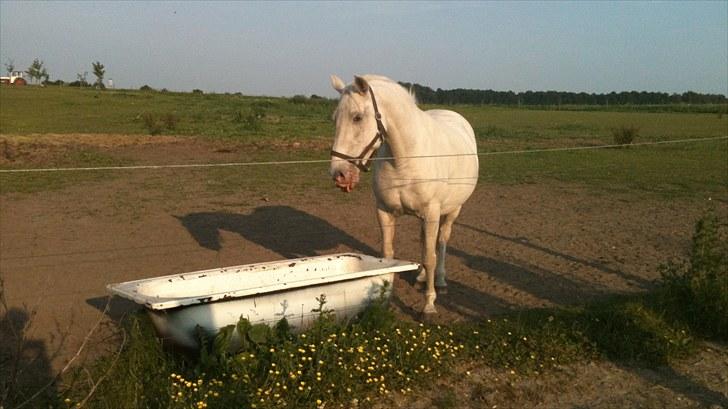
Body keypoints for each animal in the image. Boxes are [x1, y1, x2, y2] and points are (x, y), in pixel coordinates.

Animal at [328, 75, 478, 314]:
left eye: (357, 117)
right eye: (335, 119)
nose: (339, 174)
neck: (405, 158)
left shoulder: (432, 213)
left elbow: (430, 257)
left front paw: (429, 305)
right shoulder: (385, 212)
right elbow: (389, 256)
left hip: (452, 211)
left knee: (442, 243)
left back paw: (440, 281)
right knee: (426, 243)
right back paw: (422, 278)